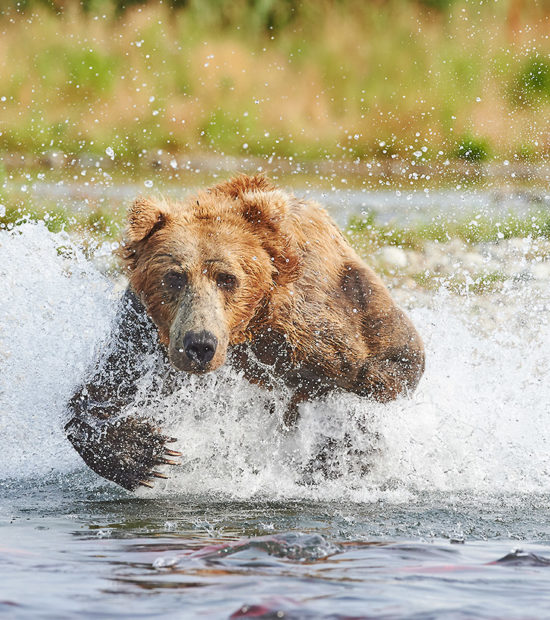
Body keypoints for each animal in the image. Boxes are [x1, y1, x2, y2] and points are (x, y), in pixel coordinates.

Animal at [66, 174, 426, 490]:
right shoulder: (145, 331)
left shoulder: (326, 322)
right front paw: (146, 453)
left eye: (227, 278)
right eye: (174, 277)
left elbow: (393, 365)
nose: (200, 345)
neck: (250, 327)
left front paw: (341, 451)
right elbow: (104, 390)